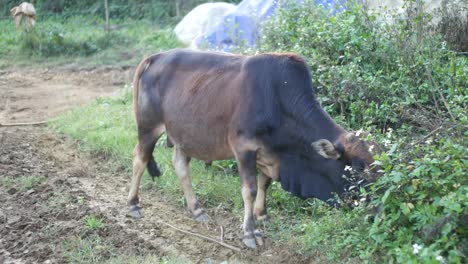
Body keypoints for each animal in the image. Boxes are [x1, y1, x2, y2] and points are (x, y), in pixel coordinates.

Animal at [128, 48, 380, 249]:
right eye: (358, 168)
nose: (375, 211)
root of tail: (155, 57)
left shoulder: (269, 154)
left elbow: (264, 183)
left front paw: (262, 215)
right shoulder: (244, 148)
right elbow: (248, 190)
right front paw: (250, 232)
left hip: (183, 135)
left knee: (180, 166)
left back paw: (197, 209)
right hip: (149, 127)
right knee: (140, 159)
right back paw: (133, 204)